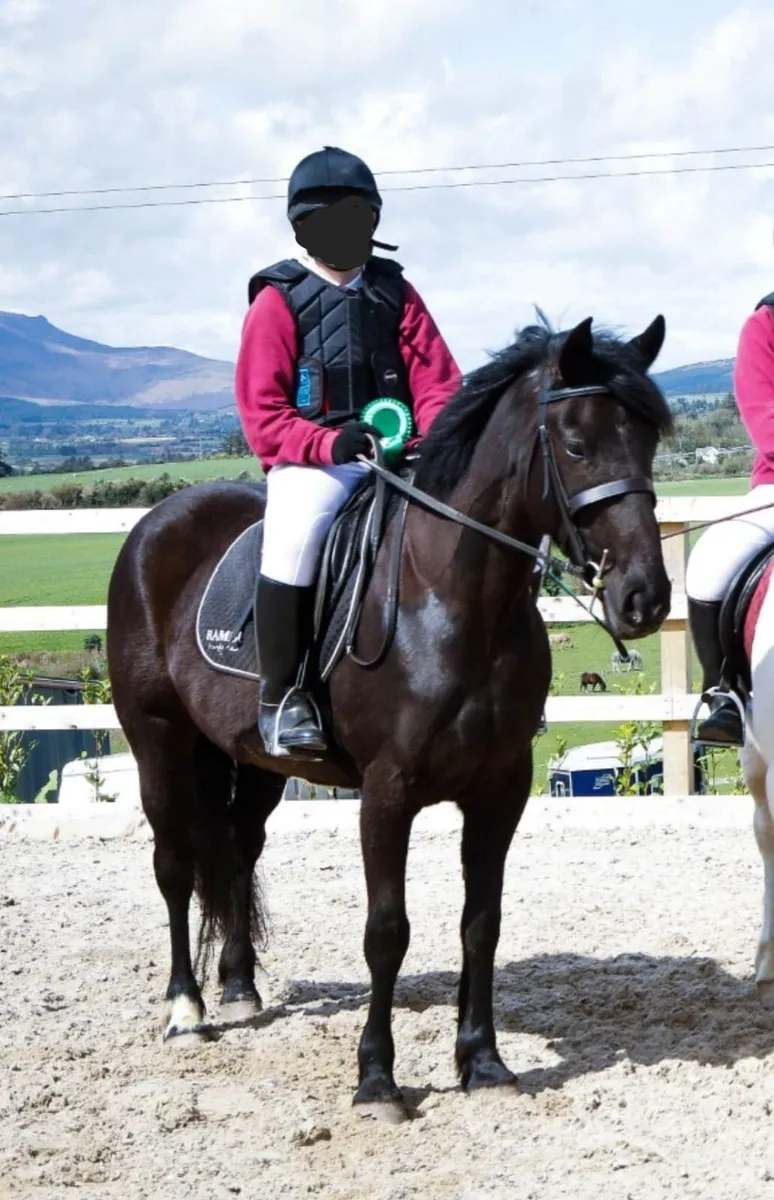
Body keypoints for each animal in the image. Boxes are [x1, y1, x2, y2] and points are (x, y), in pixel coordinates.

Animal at [106, 312, 672, 1123]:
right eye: (575, 443)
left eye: (649, 439)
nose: (644, 598)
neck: (453, 602)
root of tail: (158, 521)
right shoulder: (387, 791)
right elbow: (387, 932)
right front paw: (377, 1080)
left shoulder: (501, 789)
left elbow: (481, 922)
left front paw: (482, 1061)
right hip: (158, 742)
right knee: (176, 865)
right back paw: (186, 1008)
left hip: (255, 761)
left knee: (239, 851)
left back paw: (240, 987)